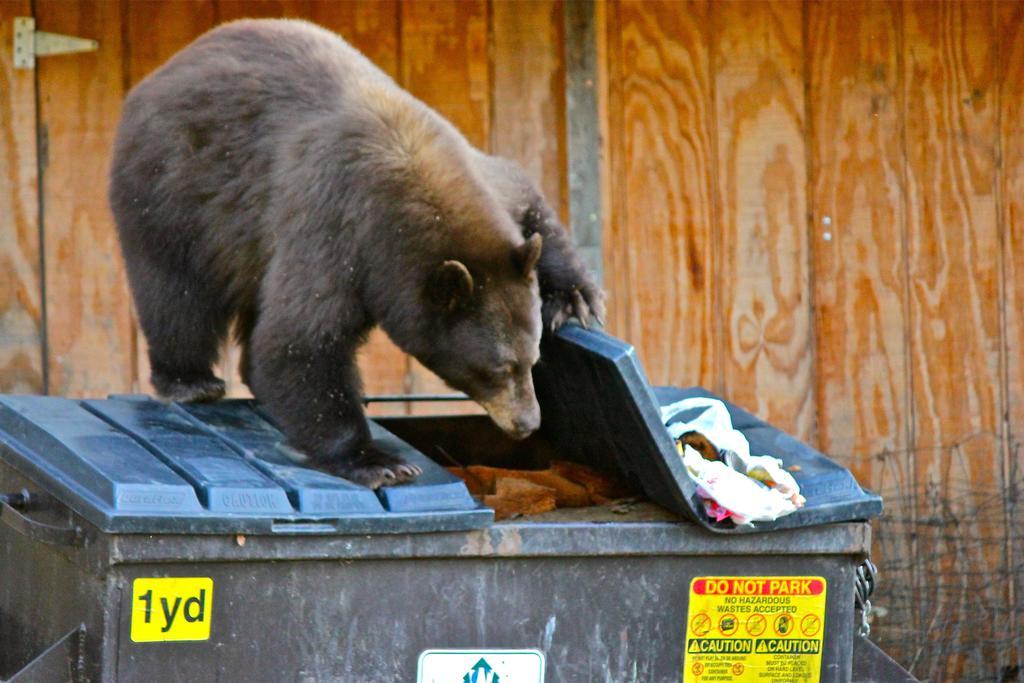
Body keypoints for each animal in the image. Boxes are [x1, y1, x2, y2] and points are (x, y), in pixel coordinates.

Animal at [112, 18, 602, 489]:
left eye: (533, 360)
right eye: (497, 368)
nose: (528, 423)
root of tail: (159, 73)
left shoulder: (480, 178)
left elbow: (527, 198)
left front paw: (575, 297)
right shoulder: (334, 229)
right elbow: (299, 340)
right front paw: (377, 461)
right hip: (168, 189)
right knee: (175, 295)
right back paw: (191, 381)